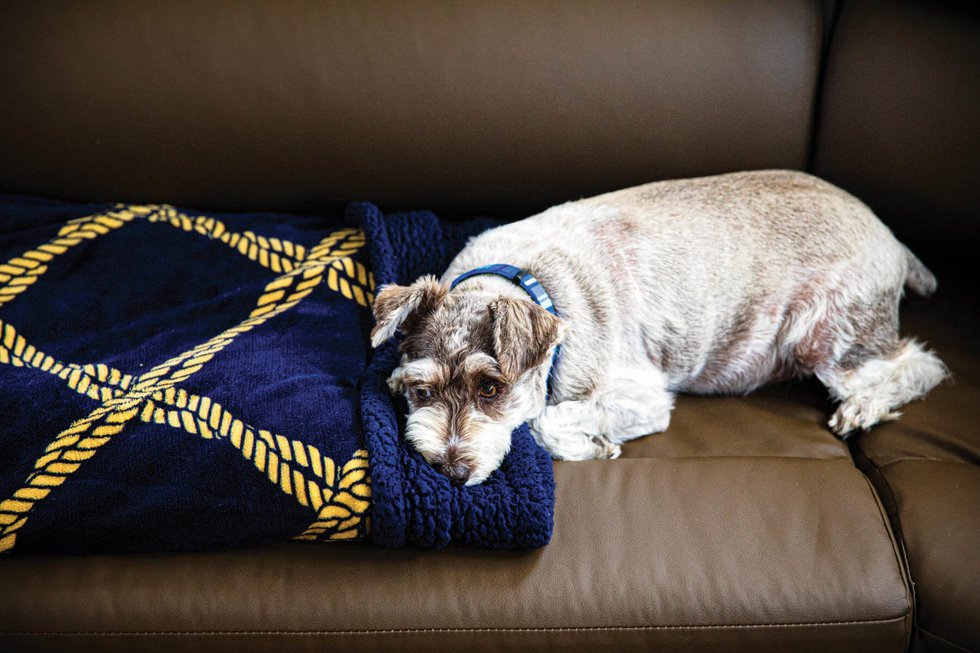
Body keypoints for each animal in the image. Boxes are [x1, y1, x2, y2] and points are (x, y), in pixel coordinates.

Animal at [370, 169, 948, 484]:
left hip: (828, 336)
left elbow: (543, 422)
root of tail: (893, 239)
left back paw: (862, 409)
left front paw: (596, 444)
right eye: (421, 391)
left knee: (920, 365)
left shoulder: (643, 398)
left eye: (491, 388)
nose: (451, 470)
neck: (526, 281)